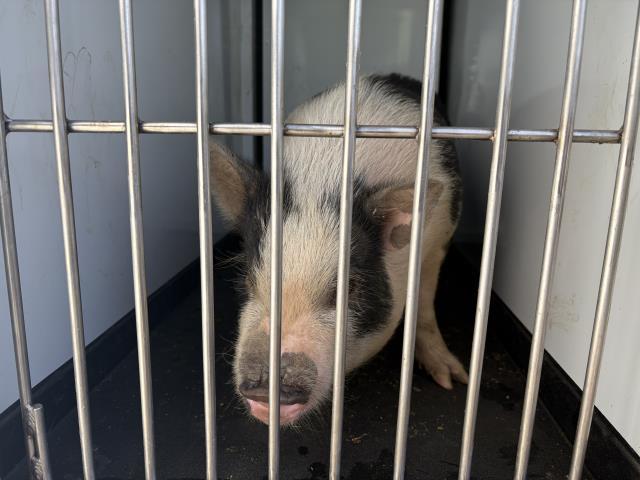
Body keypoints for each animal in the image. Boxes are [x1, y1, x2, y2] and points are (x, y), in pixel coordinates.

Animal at [209, 73, 467, 426]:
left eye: (347, 289)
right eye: (249, 278)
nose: (265, 390)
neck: (324, 180)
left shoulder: (439, 240)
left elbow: (424, 308)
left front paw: (452, 381)